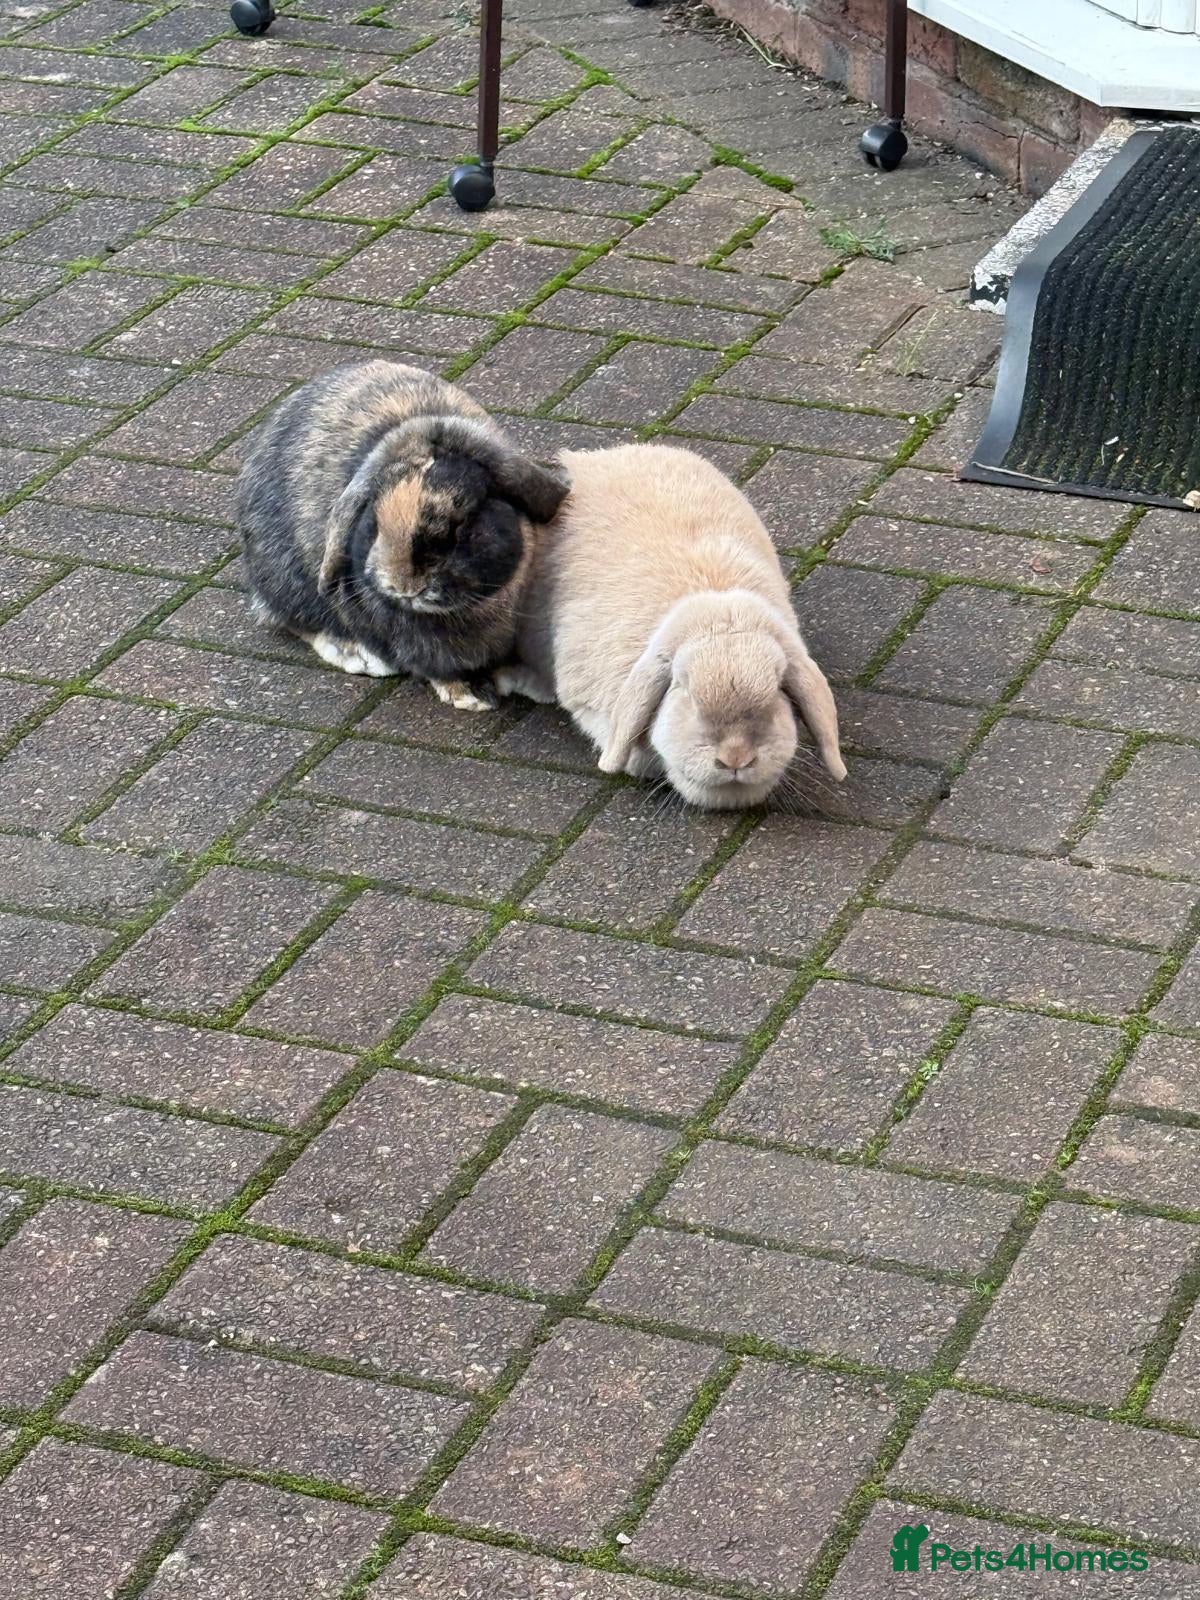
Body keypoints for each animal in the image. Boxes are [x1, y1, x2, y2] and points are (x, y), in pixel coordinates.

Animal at [238, 360, 569, 711]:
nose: (404, 585)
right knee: (293, 621)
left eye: (461, 523)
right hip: (288, 582)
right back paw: (357, 655)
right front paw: (470, 695)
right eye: (374, 519)